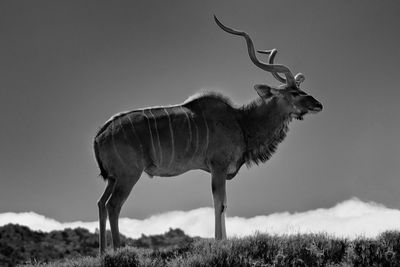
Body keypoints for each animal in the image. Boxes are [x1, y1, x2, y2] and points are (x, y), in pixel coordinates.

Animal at [94, 15, 322, 254]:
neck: (241, 121)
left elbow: (223, 204)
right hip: (129, 175)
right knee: (113, 205)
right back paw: (117, 250)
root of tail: (100, 134)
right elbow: (219, 203)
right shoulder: (218, 167)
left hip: (113, 177)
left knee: (101, 203)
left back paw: (102, 252)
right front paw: (220, 242)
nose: (318, 105)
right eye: (294, 93)